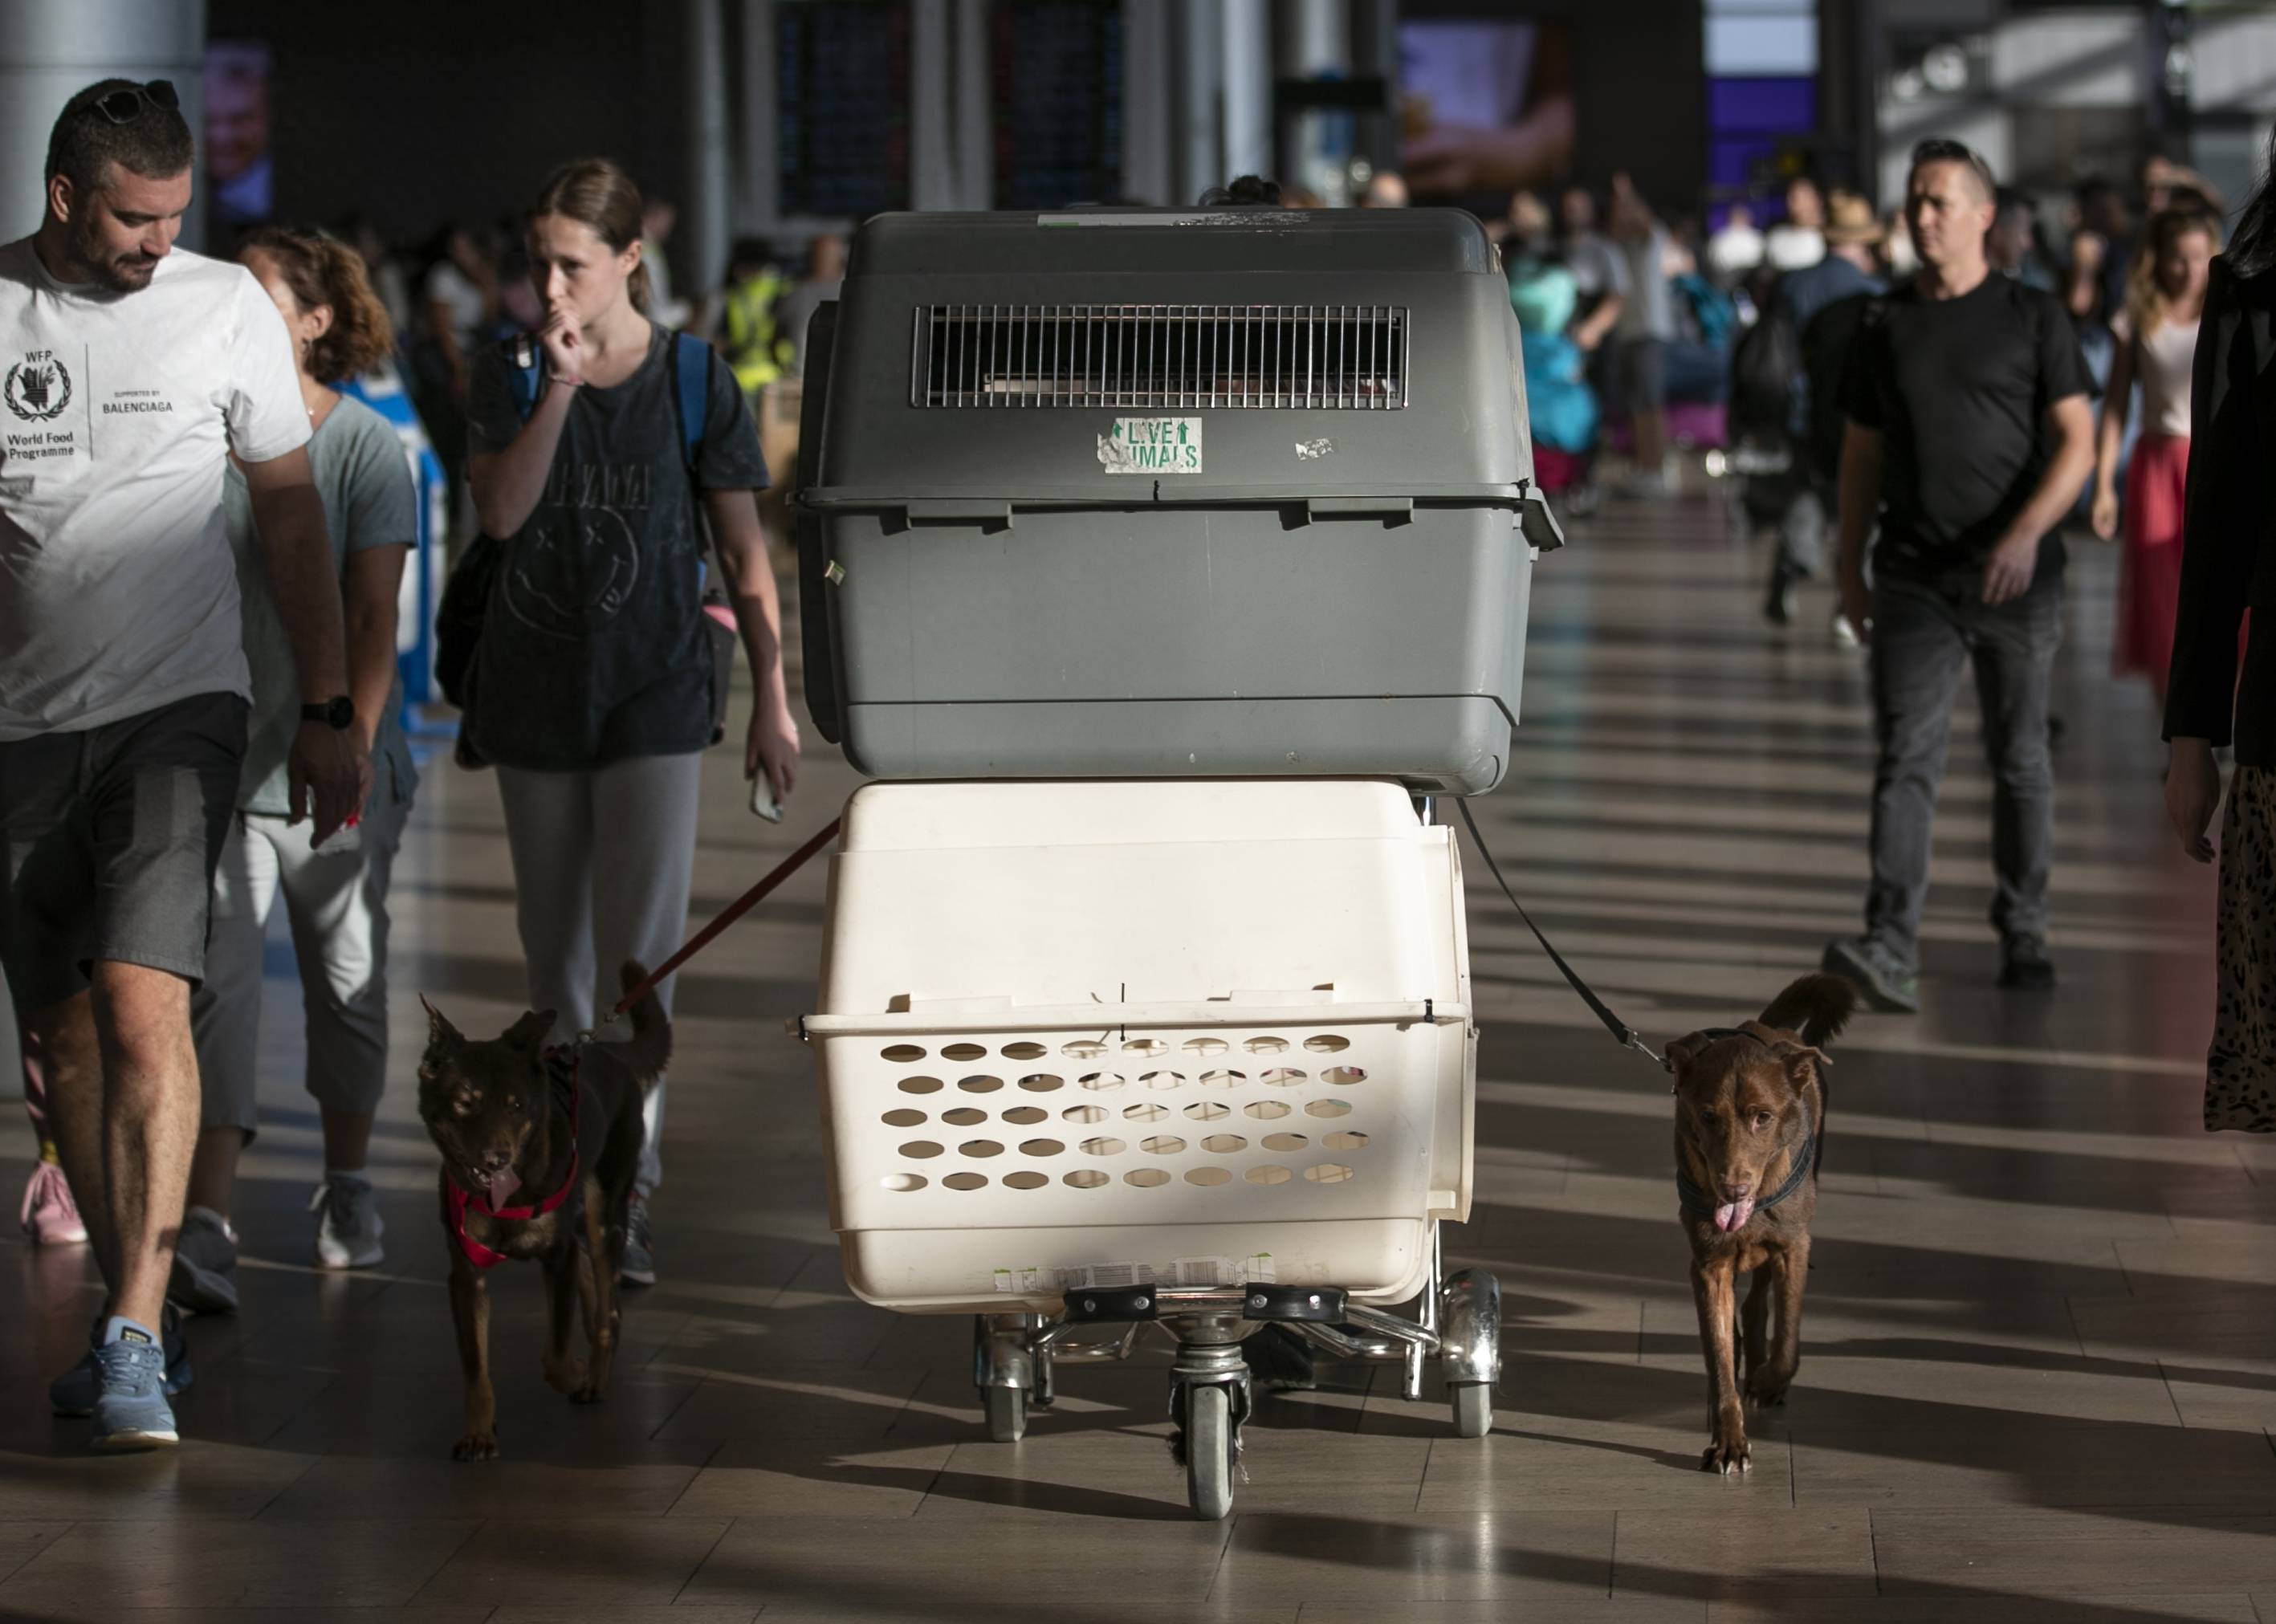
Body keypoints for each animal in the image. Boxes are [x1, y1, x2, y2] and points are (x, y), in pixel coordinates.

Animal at [418, 955, 664, 1464]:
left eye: (517, 1106)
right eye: (464, 1103)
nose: (497, 1160)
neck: (507, 1199)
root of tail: (606, 1052)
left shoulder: (556, 1256)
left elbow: (554, 1352)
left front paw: (574, 1372)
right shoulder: (466, 1276)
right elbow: (475, 1369)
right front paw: (479, 1434)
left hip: (604, 1210)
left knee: (608, 1306)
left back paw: (594, 1374)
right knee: (591, 1279)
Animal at [1666, 969, 1857, 1474]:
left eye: (1763, 1117)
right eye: (1707, 1116)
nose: (1732, 1189)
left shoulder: (1794, 1245)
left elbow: (1788, 1335)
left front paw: (1770, 1381)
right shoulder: (1708, 1266)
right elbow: (1718, 1352)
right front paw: (1729, 1441)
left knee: (1759, 1304)